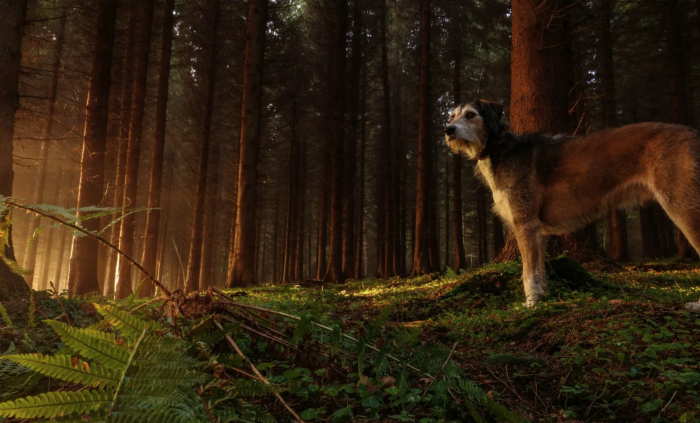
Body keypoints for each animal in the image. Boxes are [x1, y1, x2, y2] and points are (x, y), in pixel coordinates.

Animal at [446, 101, 700, 310]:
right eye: (452, 116)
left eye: (471, 115)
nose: (448, 130)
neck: (498, 148)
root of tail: (693, 131)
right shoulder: (539, 231)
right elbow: (539, 271)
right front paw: (541, 298)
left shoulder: (526, 224)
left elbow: (528, 273)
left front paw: (531, 304)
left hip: (683, 206)